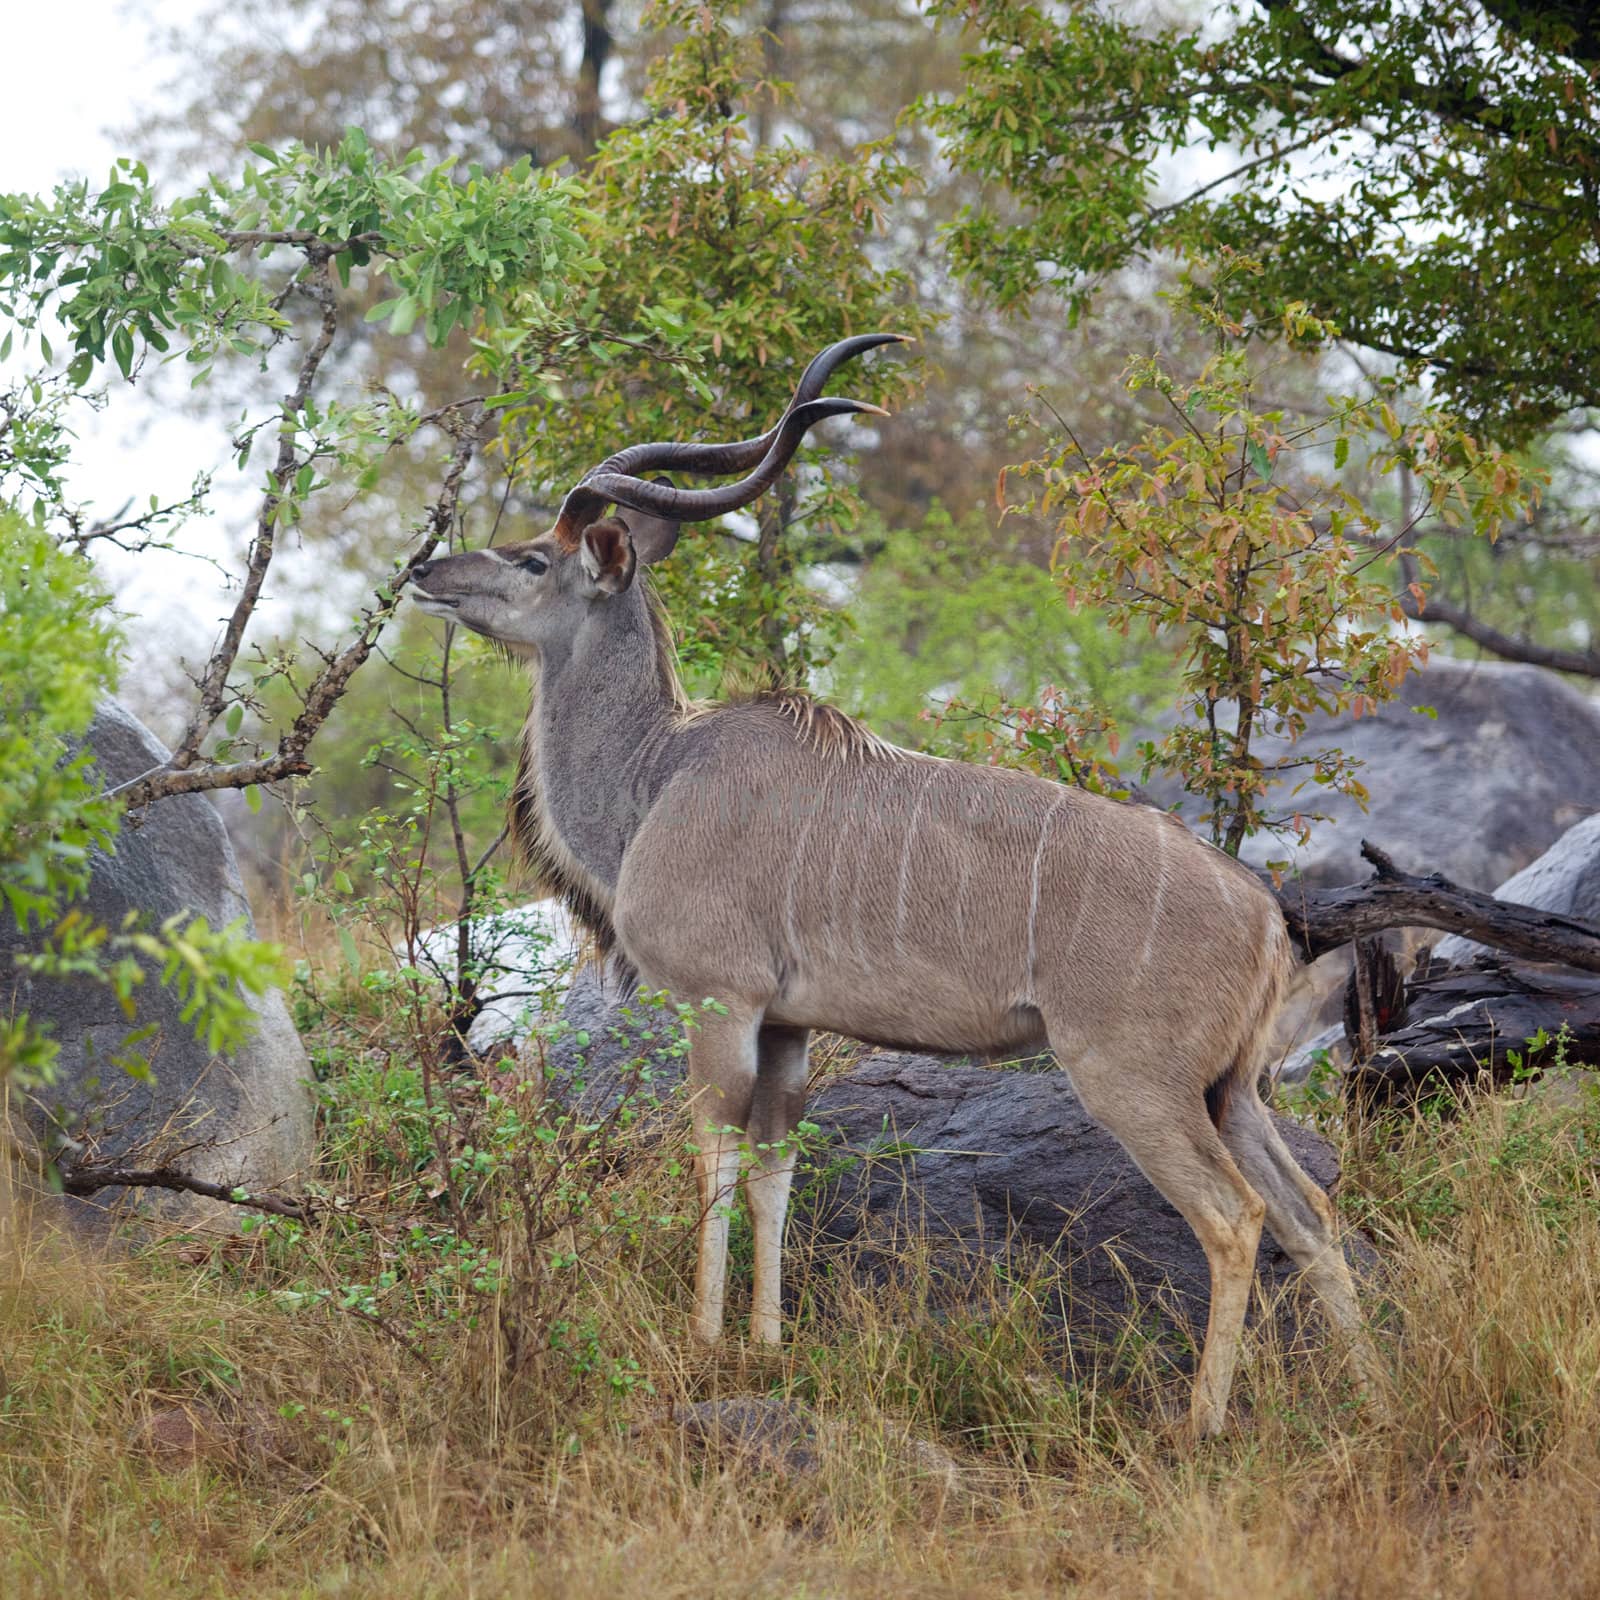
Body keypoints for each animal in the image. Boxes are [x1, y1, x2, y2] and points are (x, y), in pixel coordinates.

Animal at [409, 334, 1376, 1440]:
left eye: (534, 558)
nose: (425, 570)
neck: (659, 771)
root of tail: (1265, 919)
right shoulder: (786, 1025)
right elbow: (774, 1166)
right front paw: (767, 1345)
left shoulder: (720, 1002)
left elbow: (714, 1156)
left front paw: (704, 1342)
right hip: (1233, 1090)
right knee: (1309, 1213)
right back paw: (1375, 1395)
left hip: (1135, 1079)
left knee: (1233, 1217)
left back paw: (1199, 1425)